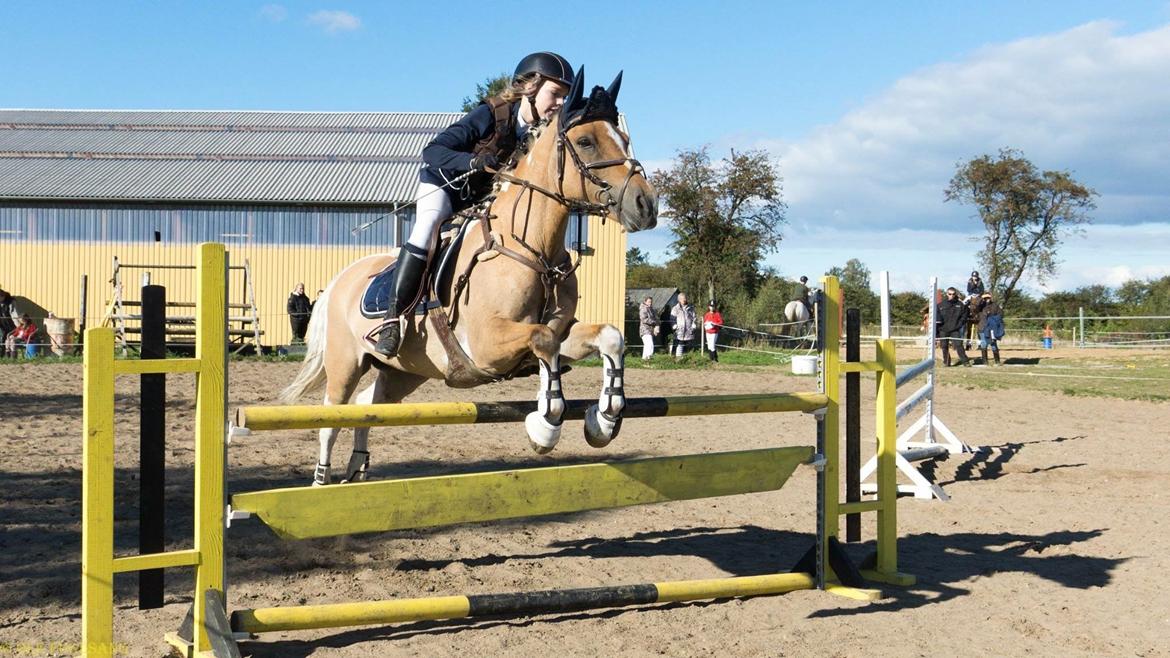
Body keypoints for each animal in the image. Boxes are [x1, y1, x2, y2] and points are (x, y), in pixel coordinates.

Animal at [277, 69, 655, 484]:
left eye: (624, 139)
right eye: (586, 142)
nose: (647, 205)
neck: (531, 246)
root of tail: (340, 280)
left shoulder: (562, 331)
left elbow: (607, 336)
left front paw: (603, 420)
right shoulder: (488, 345)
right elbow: (543, 340)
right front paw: (545, 425)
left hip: (406, 370)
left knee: (368, 404)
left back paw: (358, 467)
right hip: (345, 362)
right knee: (332, 418)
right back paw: (321, 478)